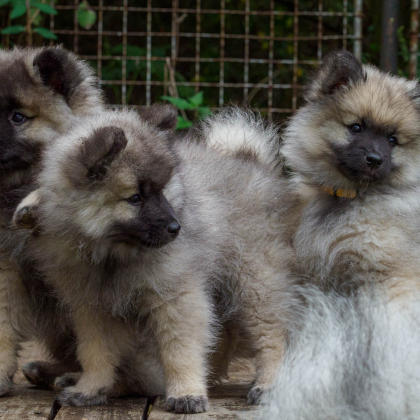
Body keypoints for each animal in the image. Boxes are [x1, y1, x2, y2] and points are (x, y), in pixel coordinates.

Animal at [13, 106, 296, 412]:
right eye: (135, 198)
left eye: (162, 189)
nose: (176, 228)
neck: (112, 254)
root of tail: (249, 160)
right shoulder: (93, 309)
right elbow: (95, 352)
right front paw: (90, 389)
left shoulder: (176, 298)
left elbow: (179, 351)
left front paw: (186, 393)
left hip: (255, 282)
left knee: (272, 337)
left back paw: (267, 385)